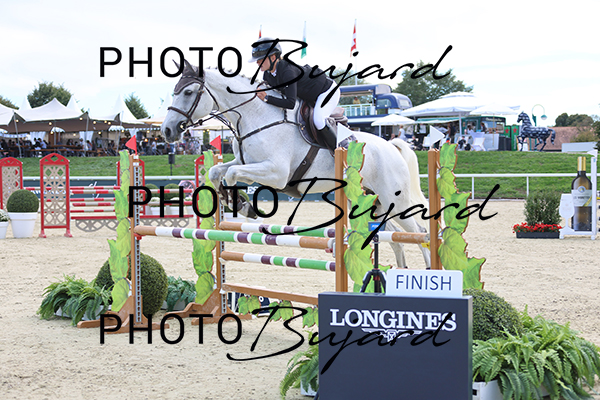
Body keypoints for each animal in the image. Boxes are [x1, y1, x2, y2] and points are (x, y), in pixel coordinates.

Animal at [161, 60, 430, 269]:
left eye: (188, 92)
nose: (167, 131)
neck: (255, 116)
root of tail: (392, 147)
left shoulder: (276, 173)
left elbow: (232, 175)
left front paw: (242, 206)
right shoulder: (245, 162)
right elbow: (217, 171)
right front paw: (236, 202)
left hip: (394, 200)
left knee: (419, 231)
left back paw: (429, 272)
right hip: (372, 203)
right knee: (394, 238)